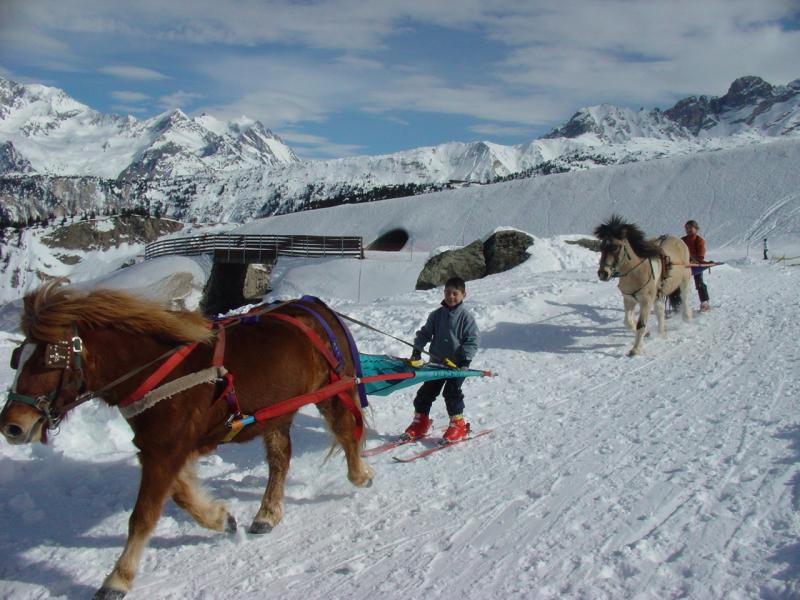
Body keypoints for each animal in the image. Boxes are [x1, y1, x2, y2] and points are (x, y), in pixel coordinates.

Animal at [0, 282, 376, 600]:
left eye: (50, 359)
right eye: (18, 358)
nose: (12, 426)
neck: (154, 369)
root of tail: (314, 306)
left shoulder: (165, 450)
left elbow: (143, 515)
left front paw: (118, 578)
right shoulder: (162, 447)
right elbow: (180, 495)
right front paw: (220, 518)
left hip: (333, 390)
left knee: (346, 432)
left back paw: (360, 474)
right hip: (275, 412)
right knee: (281, 458)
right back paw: (268, 512)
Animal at [592, 217, 692, 354]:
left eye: (616, 247)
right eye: (601, 246)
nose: (603, 273)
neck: (636, 272)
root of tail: (677, 239)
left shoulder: (646, 301)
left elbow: (641, 324)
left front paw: (636, 349)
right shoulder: (629, 299)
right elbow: (628, 322)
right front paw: (647, 333)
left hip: (685, 279)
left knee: (685, 297)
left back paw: (687, 318)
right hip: (658, 293)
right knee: (660, 310)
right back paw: (662, 333)